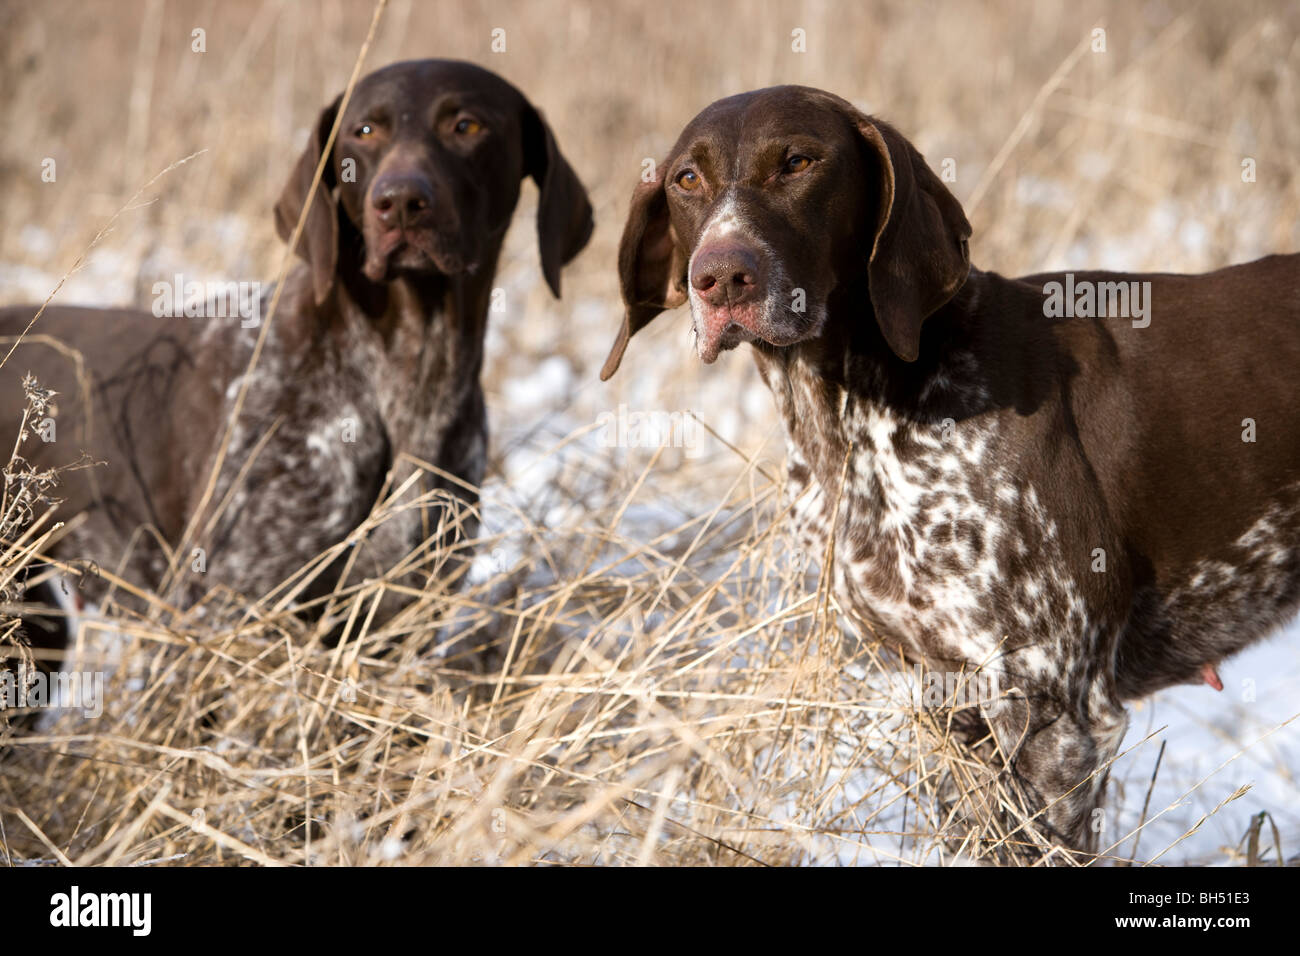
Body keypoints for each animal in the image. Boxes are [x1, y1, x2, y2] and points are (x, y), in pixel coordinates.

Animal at [603, 85, 1300, 858]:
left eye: (798, 162)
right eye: (685, 179)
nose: (721, 276)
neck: (862, 419)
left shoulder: (1054, 718)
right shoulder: (938, 695)